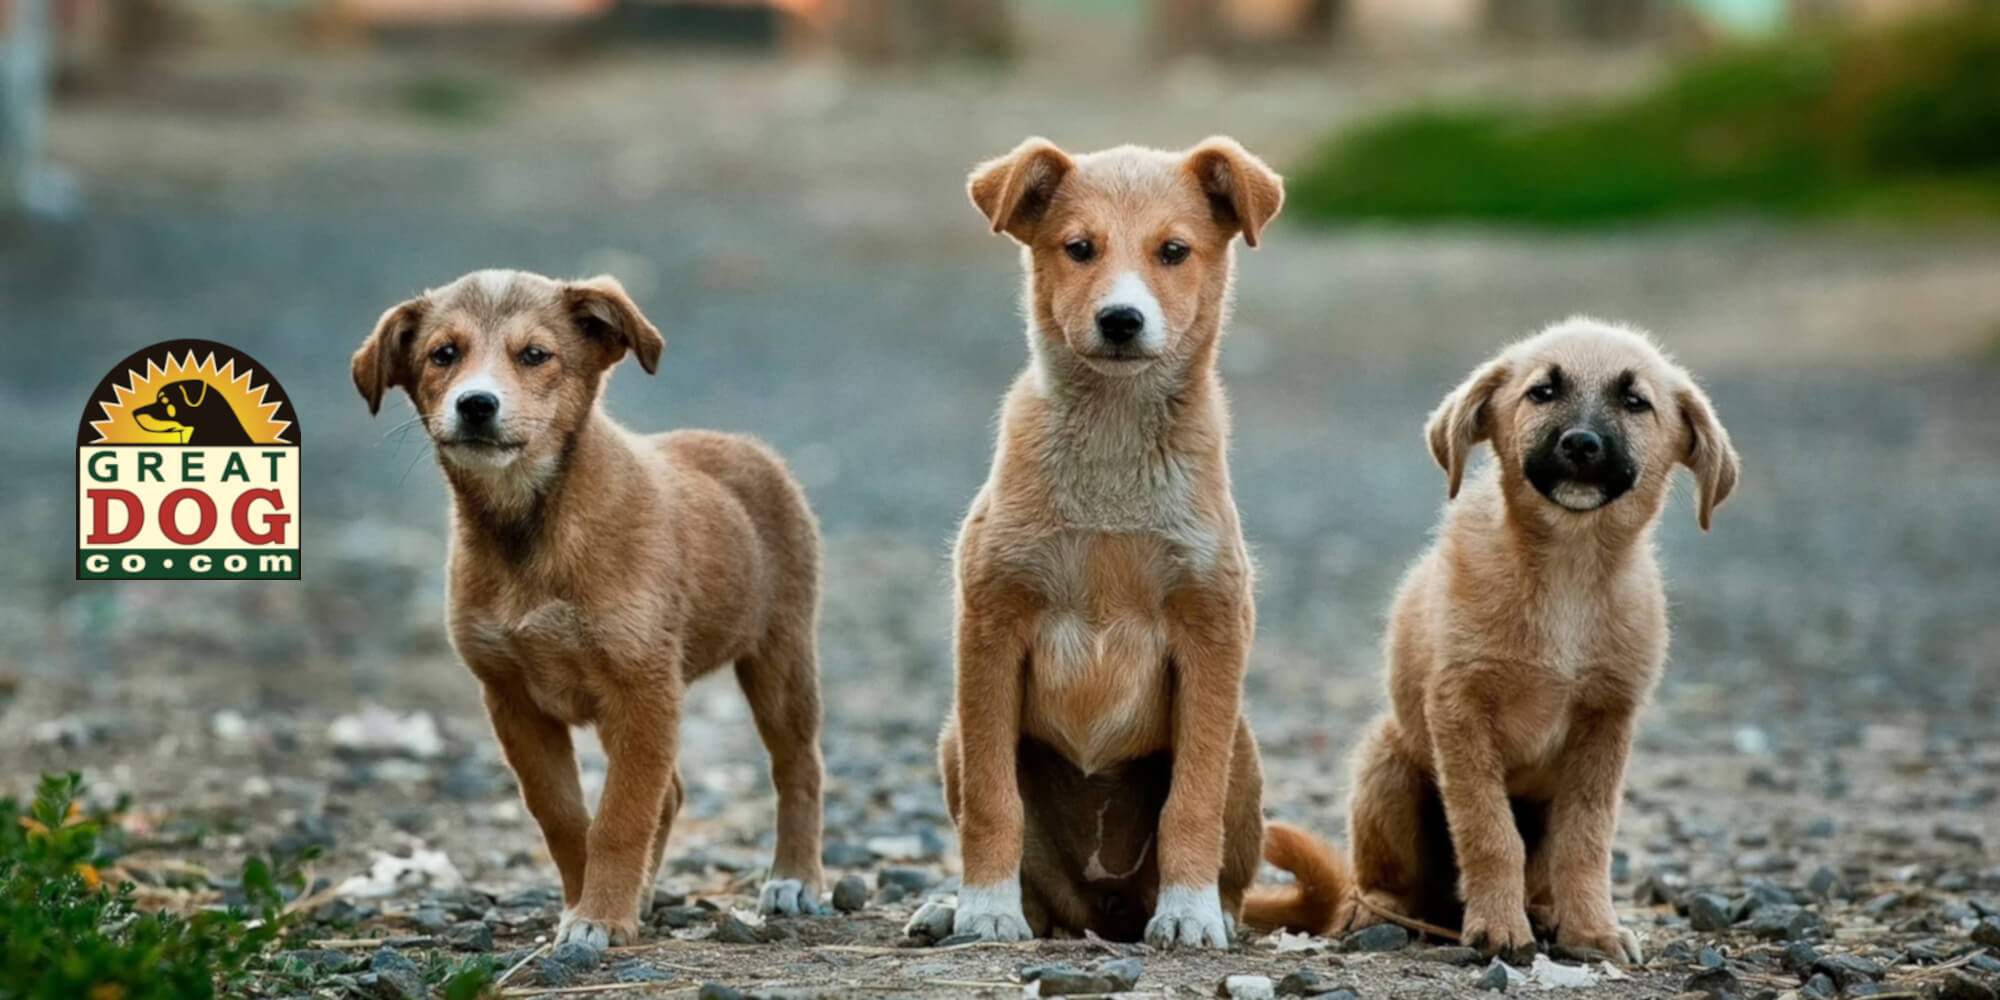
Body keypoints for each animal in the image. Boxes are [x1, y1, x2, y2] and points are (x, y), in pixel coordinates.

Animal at [354, 270, 828, 948]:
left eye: (535, 355)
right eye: (443, 354)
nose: (476, 405)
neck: (531, 530)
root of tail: (746, 447)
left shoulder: (643, 689)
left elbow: (620, 817)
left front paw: (600, 916)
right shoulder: (512, 699)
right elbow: (564, 816)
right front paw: (589, 905)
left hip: (780, 657)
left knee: (798, 767)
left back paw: (795, 878)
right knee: (672, 793)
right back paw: (648, 894)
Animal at [916, 137, 1280, 948]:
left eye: (1174, 251)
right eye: (1079, 248)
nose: (1120, 319)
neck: (1113, 448)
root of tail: (1104, 909)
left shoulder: (1213, 629)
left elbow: (1191, 801)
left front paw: (1189, 912)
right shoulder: (990, 626)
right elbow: (993, 801)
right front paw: (983, 908)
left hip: (1243, 747)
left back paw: (1210, 910)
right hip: (954, 734)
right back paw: (960, 908)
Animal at [1240, 316, 1744, 964]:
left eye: (1636, 402)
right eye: (1542, 392)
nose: (1581, 444)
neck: (1568, 571)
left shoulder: (1606, 722)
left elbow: (1586, 839)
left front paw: (1592, 930)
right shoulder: (1460, 710)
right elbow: (1488, 831)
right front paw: (1500, 928)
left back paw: (1545, 912)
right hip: (1387, 762)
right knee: (1386, 881)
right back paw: (1380, 912)